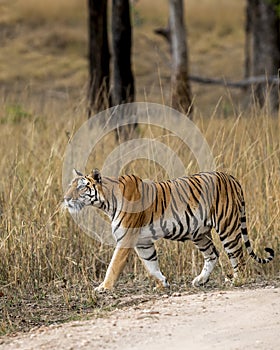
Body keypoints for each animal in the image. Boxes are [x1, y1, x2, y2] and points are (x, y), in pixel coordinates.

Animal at [63, 169, 274, 290]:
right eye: (70, 186)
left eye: (81, 188)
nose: (65, 198)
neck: (107, 202)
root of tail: (230, 177)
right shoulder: (142, 242)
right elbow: (150, 264)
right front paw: (162, 284)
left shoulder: (126, 240)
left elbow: (113, 266)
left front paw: (103, 287)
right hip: (199, 233)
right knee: (213, 254)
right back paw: (200, 280)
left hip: (227, 227)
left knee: (238, 255)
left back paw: (238, 281)